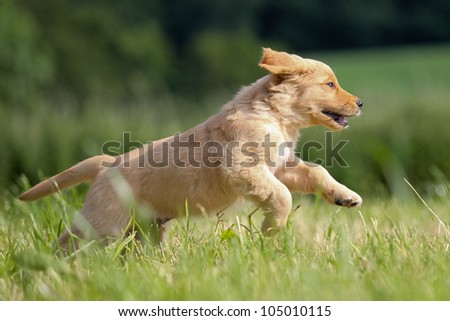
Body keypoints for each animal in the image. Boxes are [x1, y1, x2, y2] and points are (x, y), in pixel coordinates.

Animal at [20, 47, 362, 242]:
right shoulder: (243, 168)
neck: (274, 115)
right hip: (103, 223)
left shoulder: (281, 166)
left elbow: (315, 171)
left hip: (143, 230)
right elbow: (283, 195)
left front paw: (344, 195)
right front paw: (271, 229)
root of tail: (106, 164)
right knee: (67, 242)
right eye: (330, 84)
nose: (360, 102)